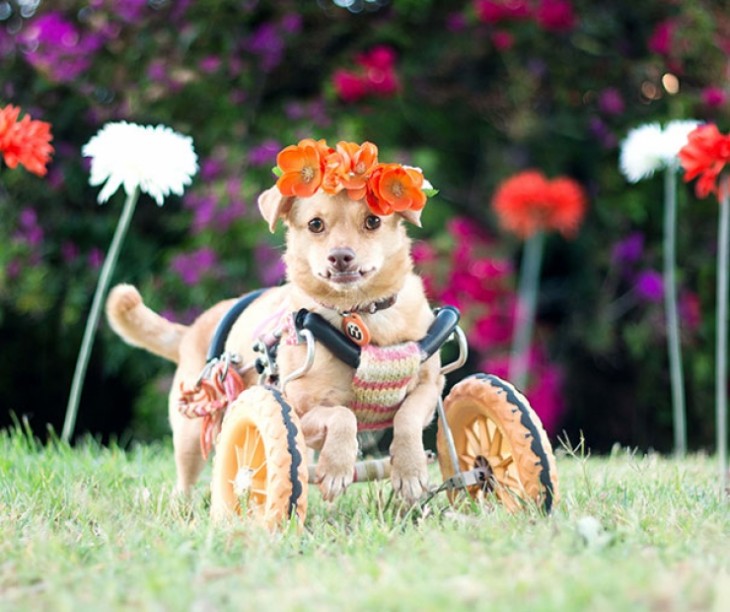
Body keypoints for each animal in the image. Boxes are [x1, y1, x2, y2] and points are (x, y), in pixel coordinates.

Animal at [105, 160, 440, 504]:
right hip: (191, 433)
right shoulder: (300, 412)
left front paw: (410, 471)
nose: (340, 256)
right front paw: (336, 467)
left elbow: (408, 416)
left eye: (373, 221)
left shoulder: (430, 389)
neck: (359, 315)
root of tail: (192, 330)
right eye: (315, 224)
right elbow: (342, 416)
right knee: (185, 480)